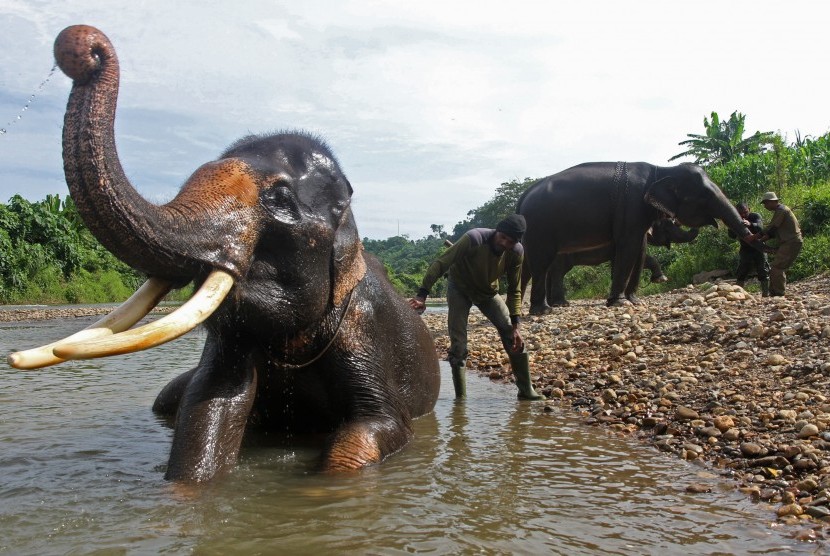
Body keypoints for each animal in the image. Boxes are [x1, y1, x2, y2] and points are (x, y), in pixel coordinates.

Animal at [8, 25, 442, 482]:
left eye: (279, 199)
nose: (82, 46)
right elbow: (211, 404)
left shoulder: (364, 324)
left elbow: (376, 427)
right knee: (167, 398)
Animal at [540, 217, 704, 306]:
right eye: (669, 227)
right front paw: (661, 279)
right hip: (562, 254)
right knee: (559, 272)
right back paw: (562, 304)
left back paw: (552, 304)